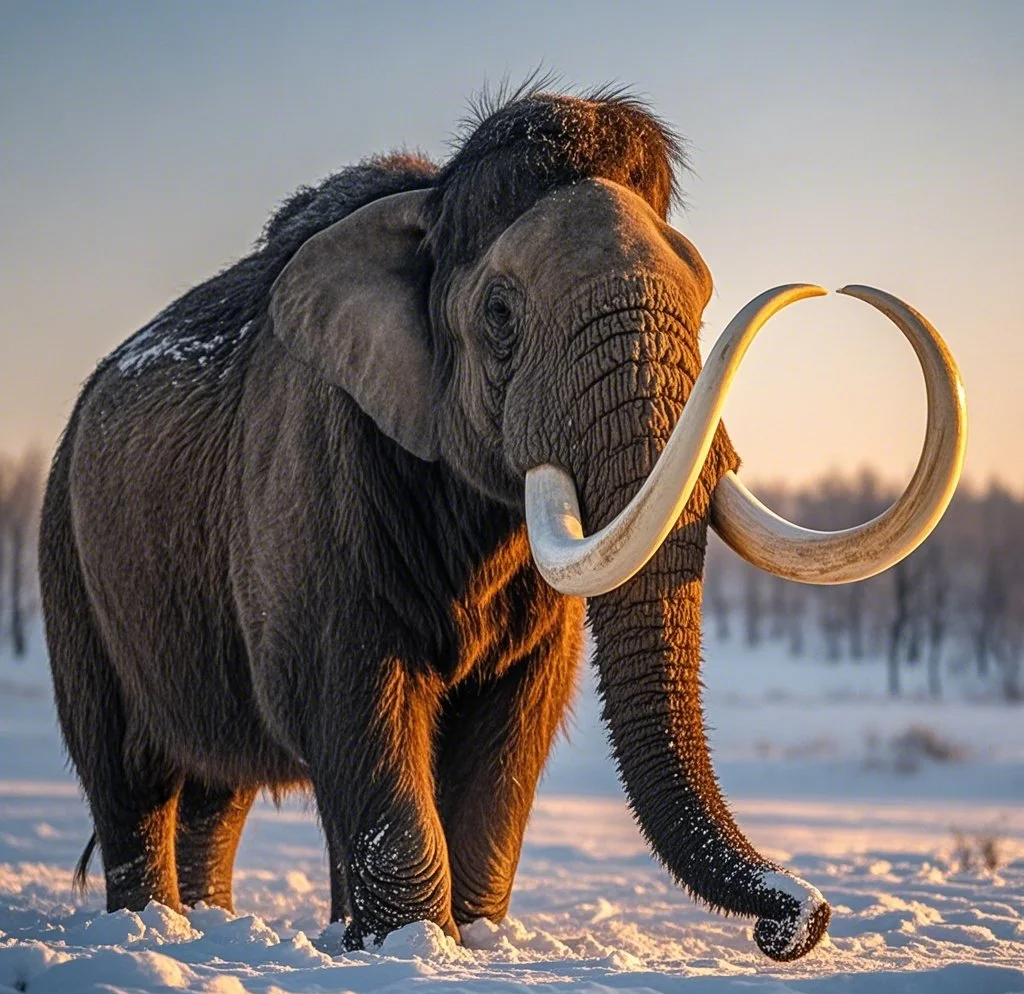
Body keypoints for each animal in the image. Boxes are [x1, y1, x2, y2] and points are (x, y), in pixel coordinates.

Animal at [39, 86, 966, 960]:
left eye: (704, 306)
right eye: (500, 315)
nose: (801, 918)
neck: (424, 213)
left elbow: (515, 726)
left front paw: (467, 941)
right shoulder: (307, 475)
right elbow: (350, 697)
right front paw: (408, 946)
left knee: (214, 797)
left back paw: (207, 925)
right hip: (66, 557)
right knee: (130, 782)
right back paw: (155, 930)